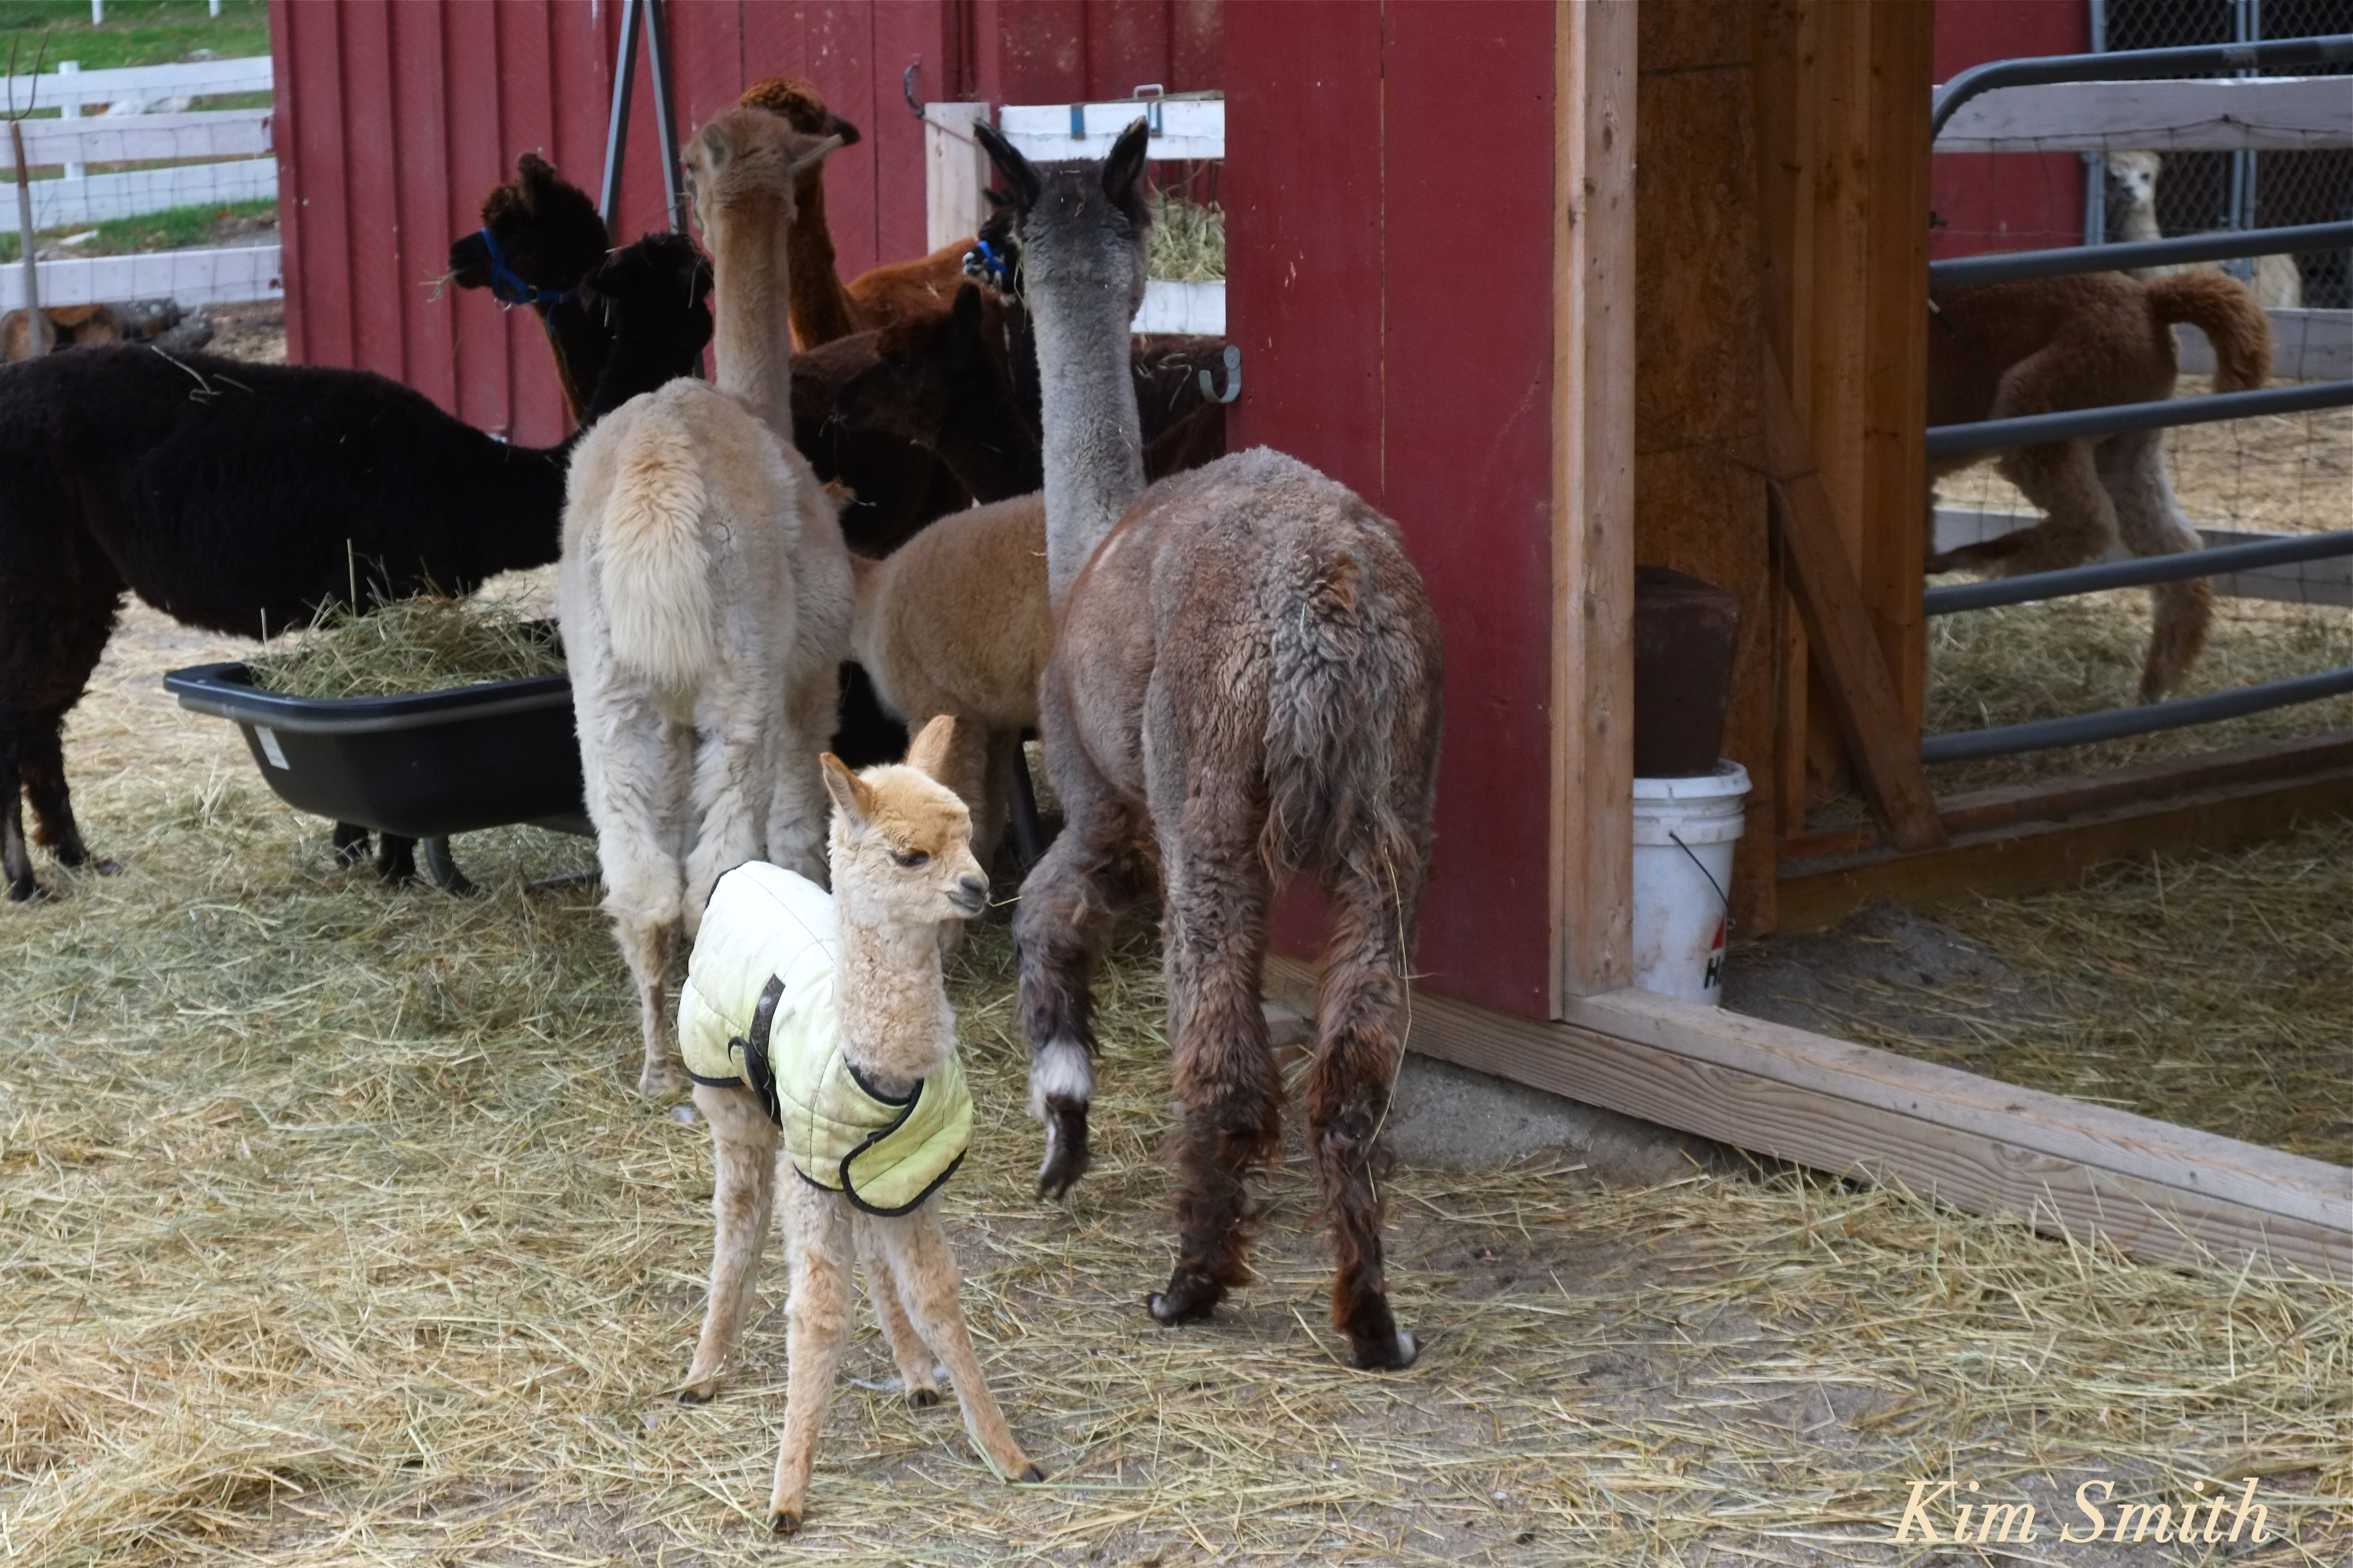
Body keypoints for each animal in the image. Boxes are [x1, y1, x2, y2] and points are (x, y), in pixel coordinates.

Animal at [976, 119, 1444, 1372]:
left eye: (997, 239)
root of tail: (1318, 614)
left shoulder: (1104, 801)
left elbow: (1041, 918)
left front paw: (1061, 1132)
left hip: (1210, 799)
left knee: (1226, 1061)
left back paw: (1186, 1285)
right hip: (1393, 805)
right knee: (1353, 1069)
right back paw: (1370, 1316)